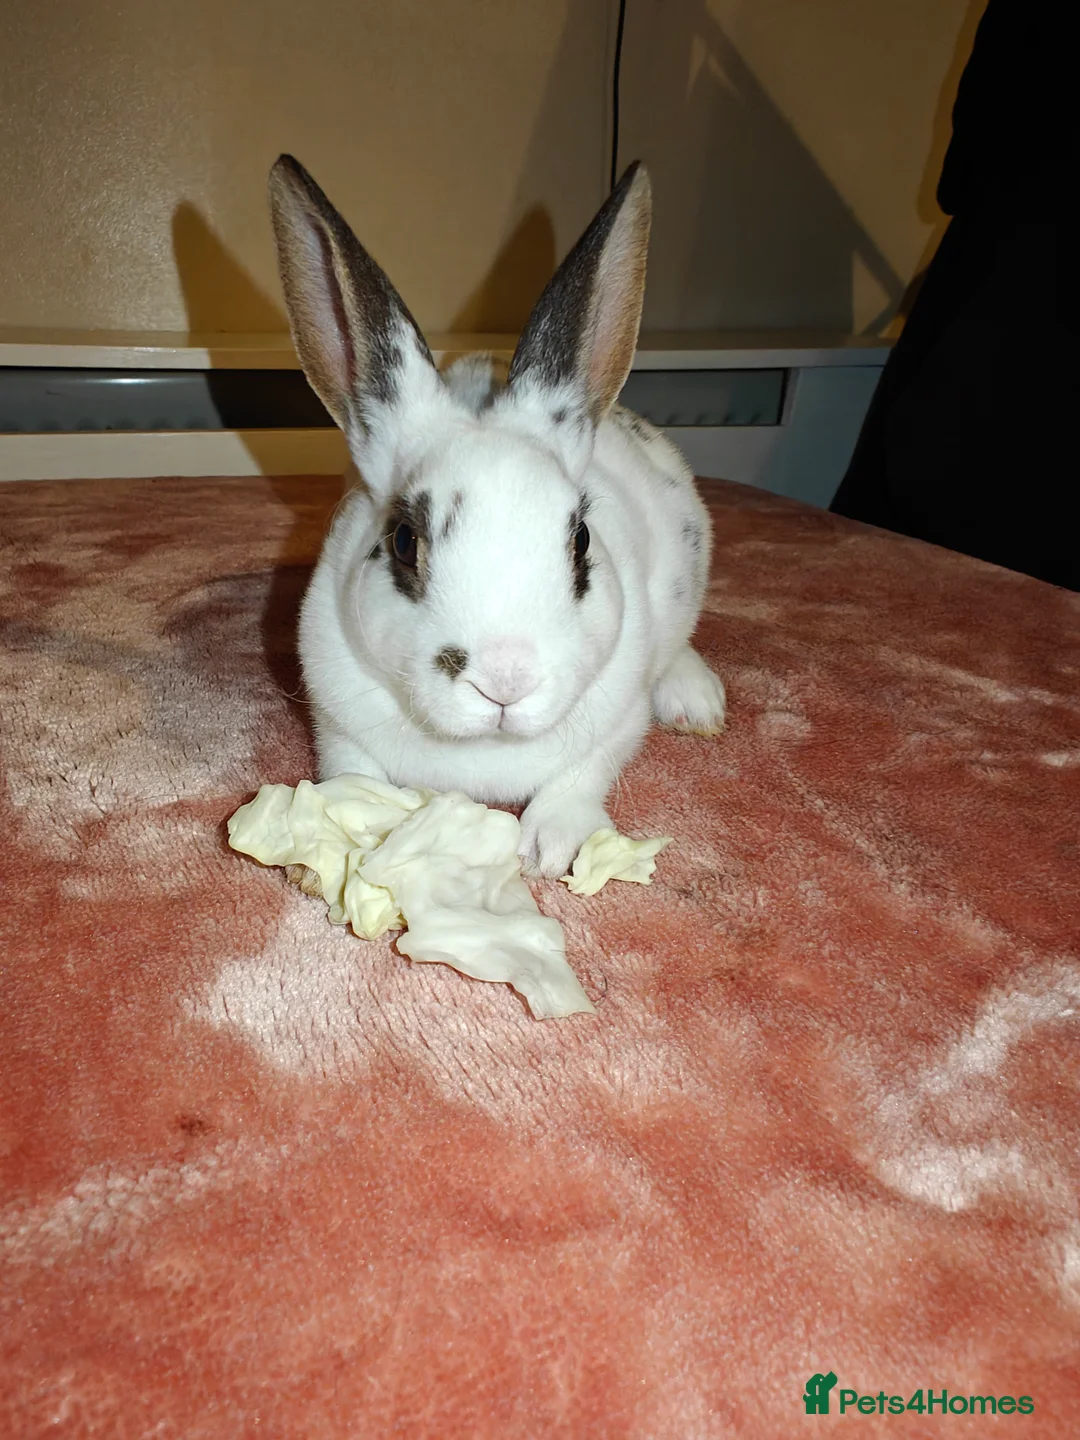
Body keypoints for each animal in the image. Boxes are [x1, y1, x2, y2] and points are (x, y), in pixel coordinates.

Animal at [268, 154, 726, 878]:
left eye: (581, 540)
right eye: (404, 540)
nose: (505, 683)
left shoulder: (617, 719)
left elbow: (585, 773)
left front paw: (557, 847)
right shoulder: (334, 716)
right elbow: (351, 770)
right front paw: (331, 837)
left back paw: (695, 701)